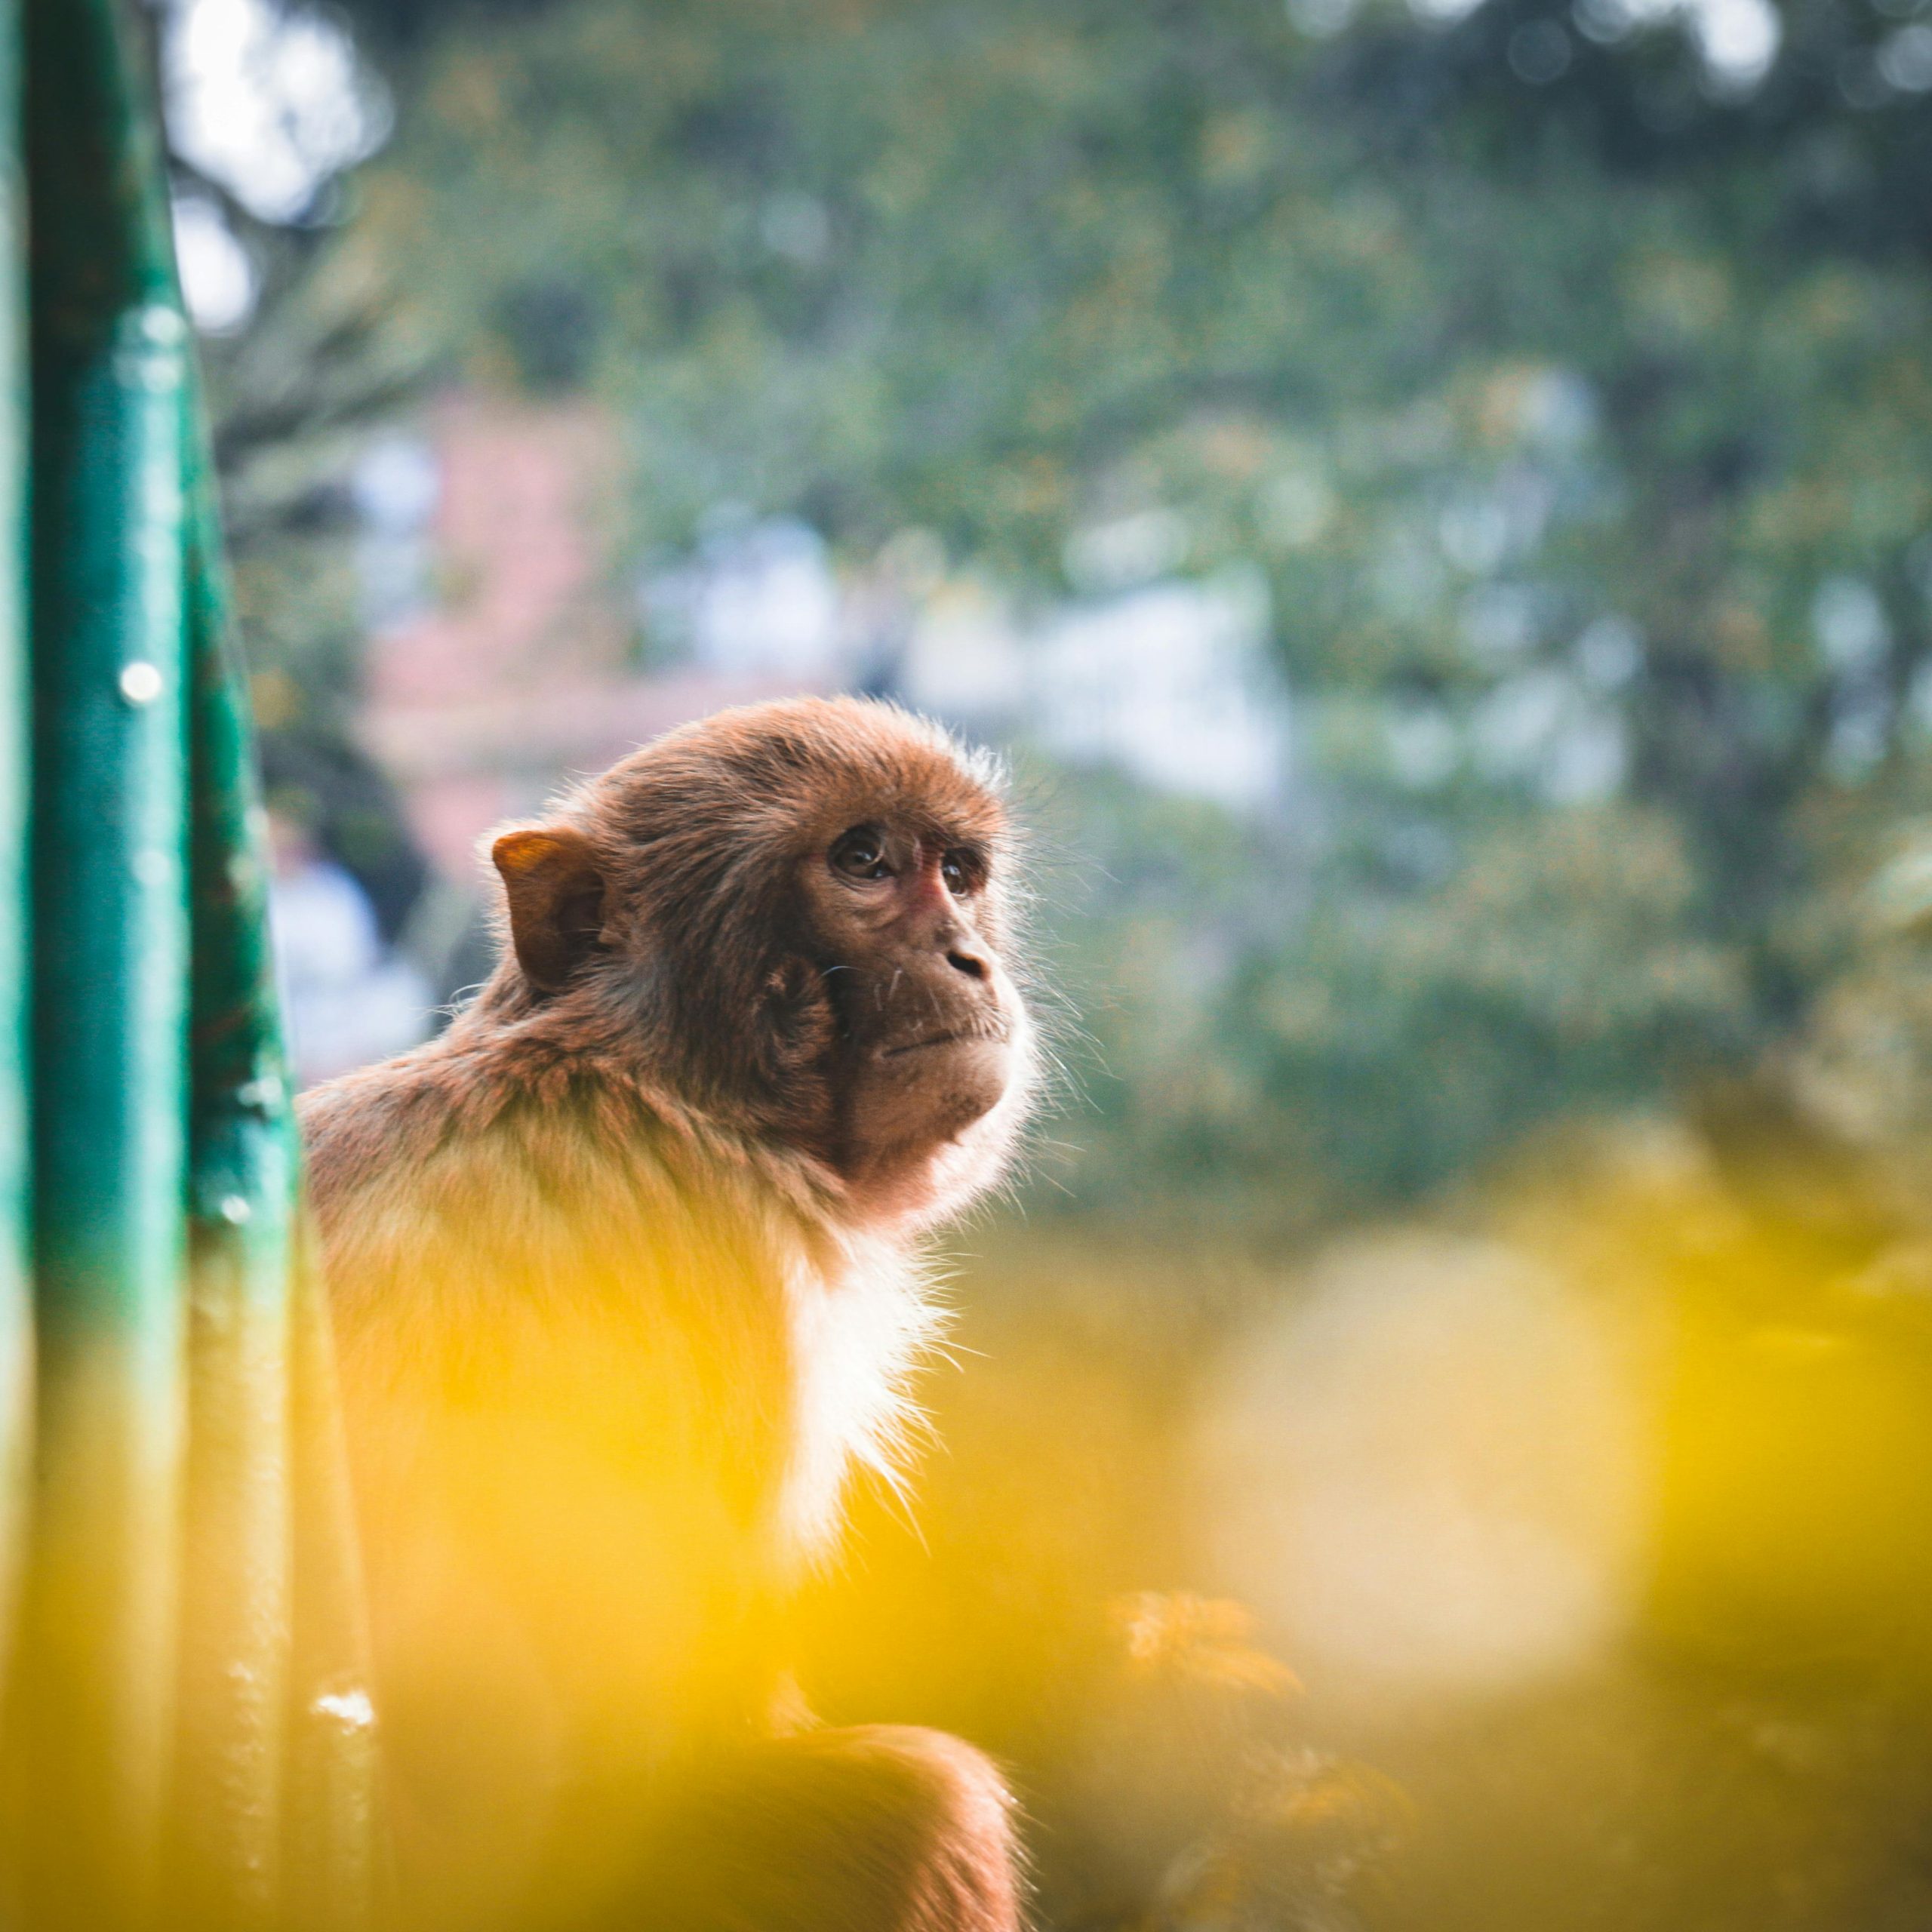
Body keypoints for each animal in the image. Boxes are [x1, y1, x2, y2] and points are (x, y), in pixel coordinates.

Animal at [297, 697, 1035, 1932]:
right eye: (864, 862)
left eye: (958, 871)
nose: (967, 955)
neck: (652, 1077)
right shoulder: (736, 1260)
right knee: (922, 1803)